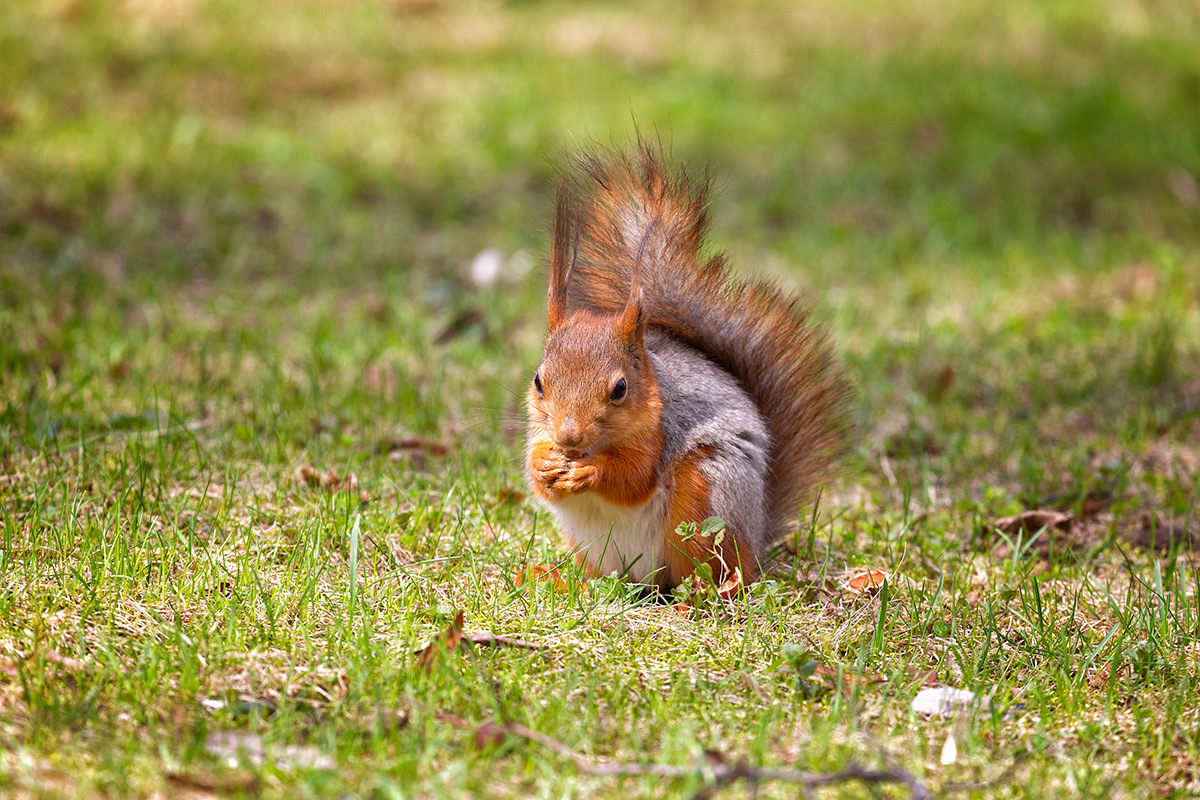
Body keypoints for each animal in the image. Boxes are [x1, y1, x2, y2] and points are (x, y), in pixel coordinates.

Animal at [528, 143, 854, 592]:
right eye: (539, 381)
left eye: (620, 388)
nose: (568, 436)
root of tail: (756, 537)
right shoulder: (537, 427)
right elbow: (537, 477)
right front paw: (546, 463)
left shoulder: (659, 430)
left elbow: (634, 479)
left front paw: (591, 471)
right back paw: (560, 579)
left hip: (705, 499)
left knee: (710, 570)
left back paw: (701, 592)